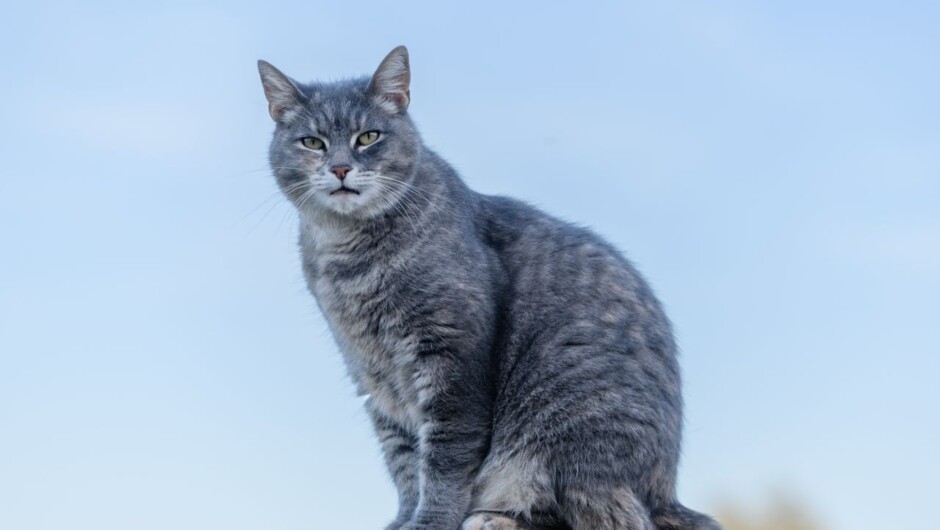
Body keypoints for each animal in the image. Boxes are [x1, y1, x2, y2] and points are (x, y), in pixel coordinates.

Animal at [258, 45, 720, 528]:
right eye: (312, 142)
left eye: (368, 136)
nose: (340, 167)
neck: (348, 257)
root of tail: (665, 495)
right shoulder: (374, 378)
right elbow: (403, 461)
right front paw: (404, 519)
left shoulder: (452, 358)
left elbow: (444, 458)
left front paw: (429, 522)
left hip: (567, 423)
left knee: (585, 509)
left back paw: (493, 518)